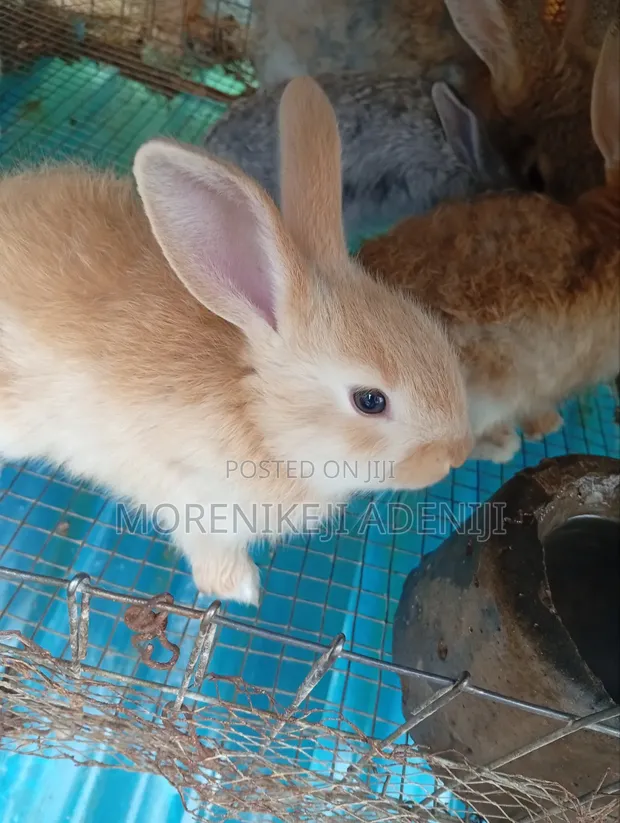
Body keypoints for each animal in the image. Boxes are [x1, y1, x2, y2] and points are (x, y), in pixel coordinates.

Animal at [0, 76, 472, 606]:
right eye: (370, 401)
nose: (455, 456)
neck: (257, 414)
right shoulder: (192, 501)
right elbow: (210, 552)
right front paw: (240, 589)